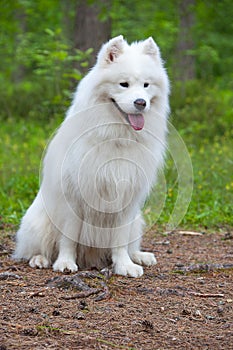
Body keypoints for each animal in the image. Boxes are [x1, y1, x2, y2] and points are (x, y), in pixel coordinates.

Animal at [13, 35, 169, 276]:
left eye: (146, 85)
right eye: (123, 84)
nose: (141, 103)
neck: (116, 137)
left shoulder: (126, 198)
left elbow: (120, 240)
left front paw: (124, 265)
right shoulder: (74, 197)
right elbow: (68, 237)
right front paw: (65, 263)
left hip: (137, 220)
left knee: (131, 244)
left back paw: (140, 256)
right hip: (38, 222)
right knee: (33, 249)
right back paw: (40, 259)